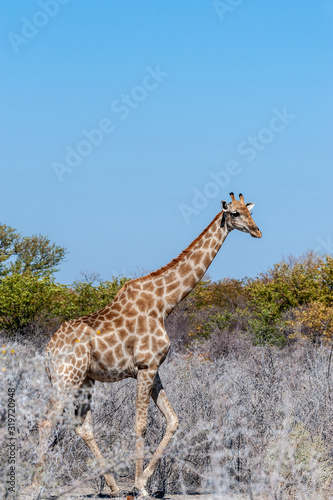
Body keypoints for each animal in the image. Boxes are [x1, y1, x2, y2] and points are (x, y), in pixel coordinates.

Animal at [29, 191, 260, 496]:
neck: (164, 304)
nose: (257, 231)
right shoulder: (145, 366)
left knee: (83, 427)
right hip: (65, 378)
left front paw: (142, 481)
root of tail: (48, 350)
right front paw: (139, 486)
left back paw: (113, 486)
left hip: (84, 381)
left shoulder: (154, 367)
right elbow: (141, 425)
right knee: (46, 421)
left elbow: (173, 420)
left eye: (250, 210)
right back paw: (34, 485)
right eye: (234, 213)